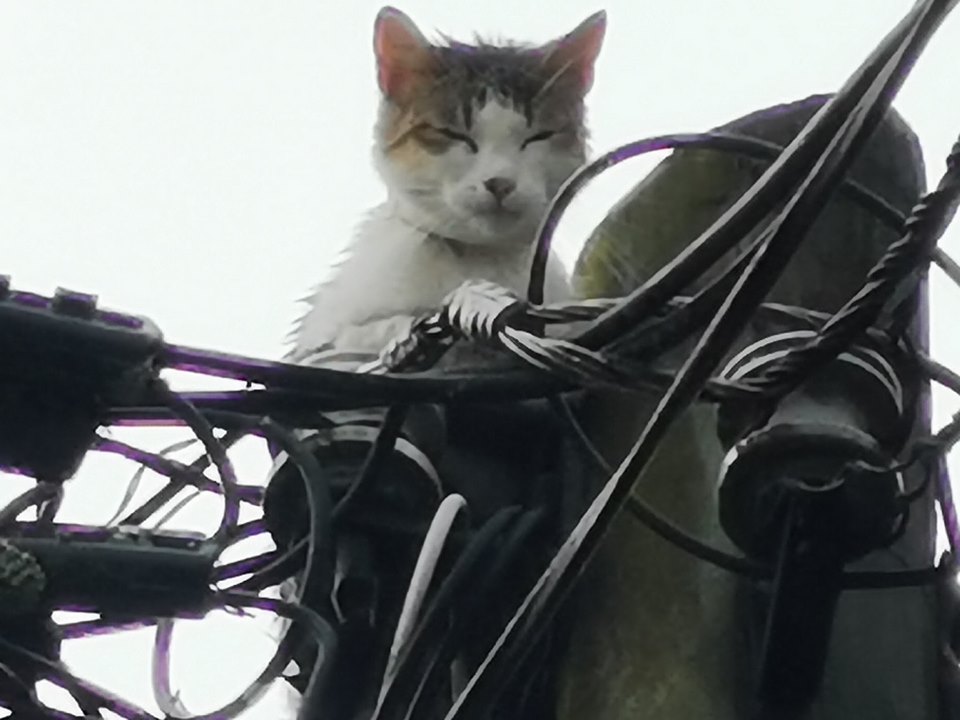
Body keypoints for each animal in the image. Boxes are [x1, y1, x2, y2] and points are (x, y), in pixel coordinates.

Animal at [284, 2, 604, 368]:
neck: (478, 258)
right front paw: (405, 334)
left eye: (539, 136)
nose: (500, 183)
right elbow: (364, 334)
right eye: (452, 134)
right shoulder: (319, 345)